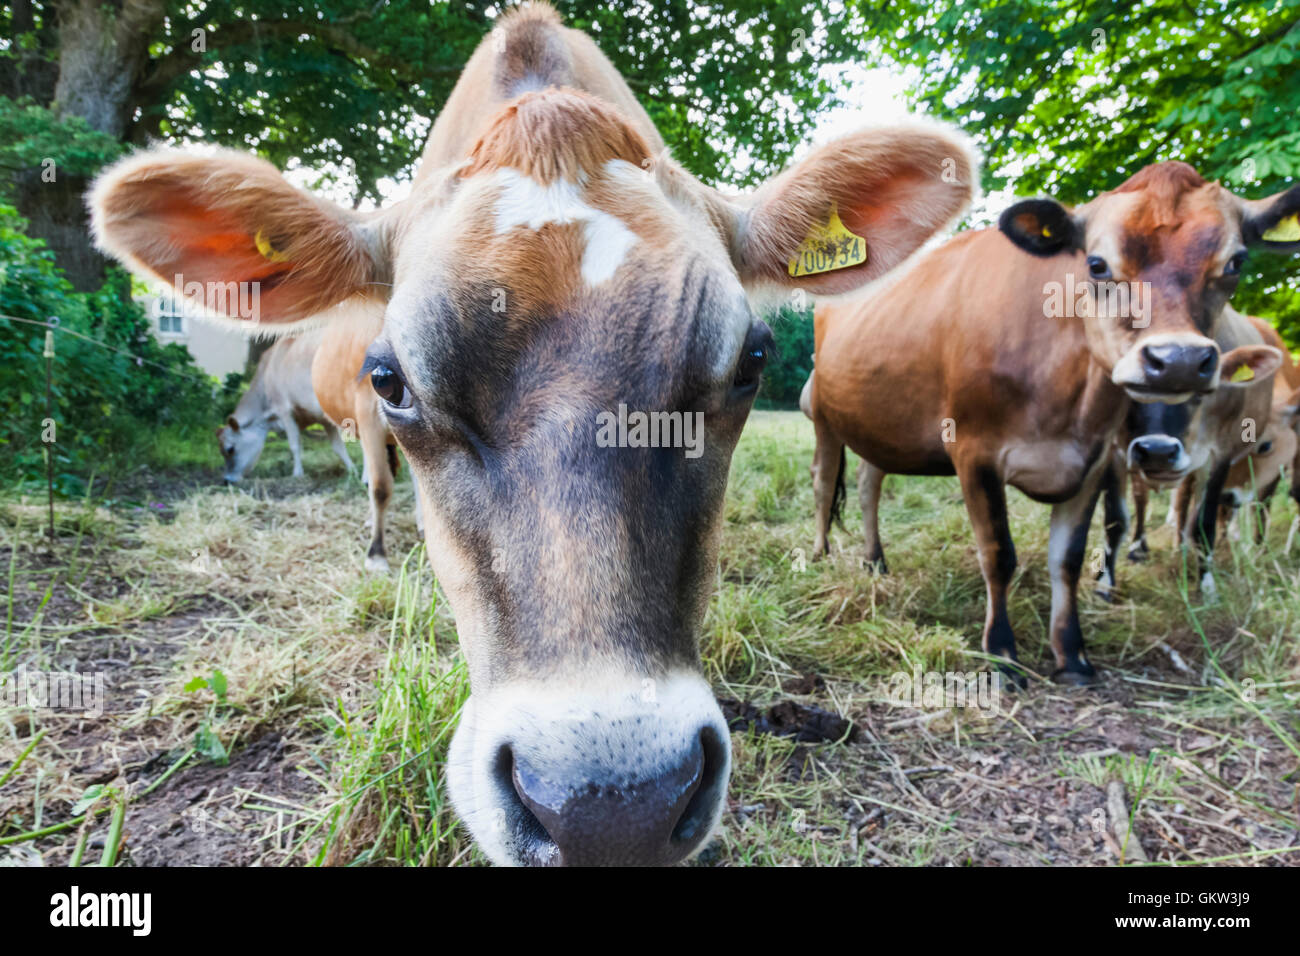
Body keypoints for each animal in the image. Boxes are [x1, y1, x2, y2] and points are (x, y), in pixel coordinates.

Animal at [217, 330, 356, 484]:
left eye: (230, 449)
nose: (227, 480)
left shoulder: (284, 411)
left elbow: (294, 445)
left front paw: (297, 474)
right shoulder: (322, 418)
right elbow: (338, 447)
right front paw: (352, 470)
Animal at [805, 161, 1300, 686]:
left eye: (1236, 262)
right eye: (1097, 264)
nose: (1179, 361)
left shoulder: (1095, 459)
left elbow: (1068, 558)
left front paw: (1072, 656)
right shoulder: (973, 451)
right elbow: (998, 553)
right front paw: (1002, 656)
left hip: (878, 427)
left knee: (868, 484)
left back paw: (875, 561)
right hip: (824, 417)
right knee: (824, 482)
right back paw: (820, 555)